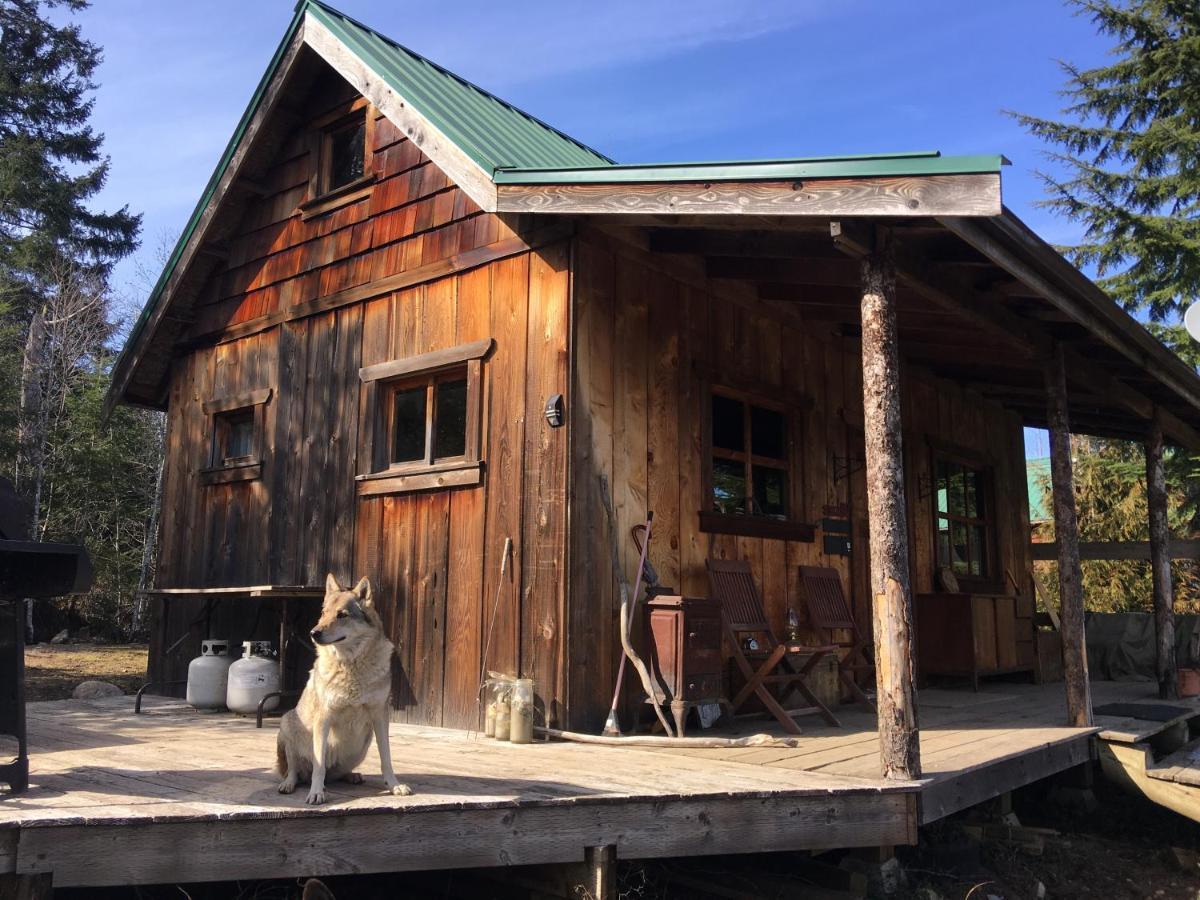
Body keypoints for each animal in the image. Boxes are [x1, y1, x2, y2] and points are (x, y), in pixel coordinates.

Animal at [276, 580, 412, 806]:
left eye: (342, 615)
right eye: (324, 613)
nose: (313, 633)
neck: (351, 664)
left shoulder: (380, 716)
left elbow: (386, 758)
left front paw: (394, 786)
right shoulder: (323, 718)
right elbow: (319, 766)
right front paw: (316, 793)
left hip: (362, 746)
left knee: (334, 774)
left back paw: (352, 776)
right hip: (287, 725)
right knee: (295, 772)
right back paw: (289, 784)